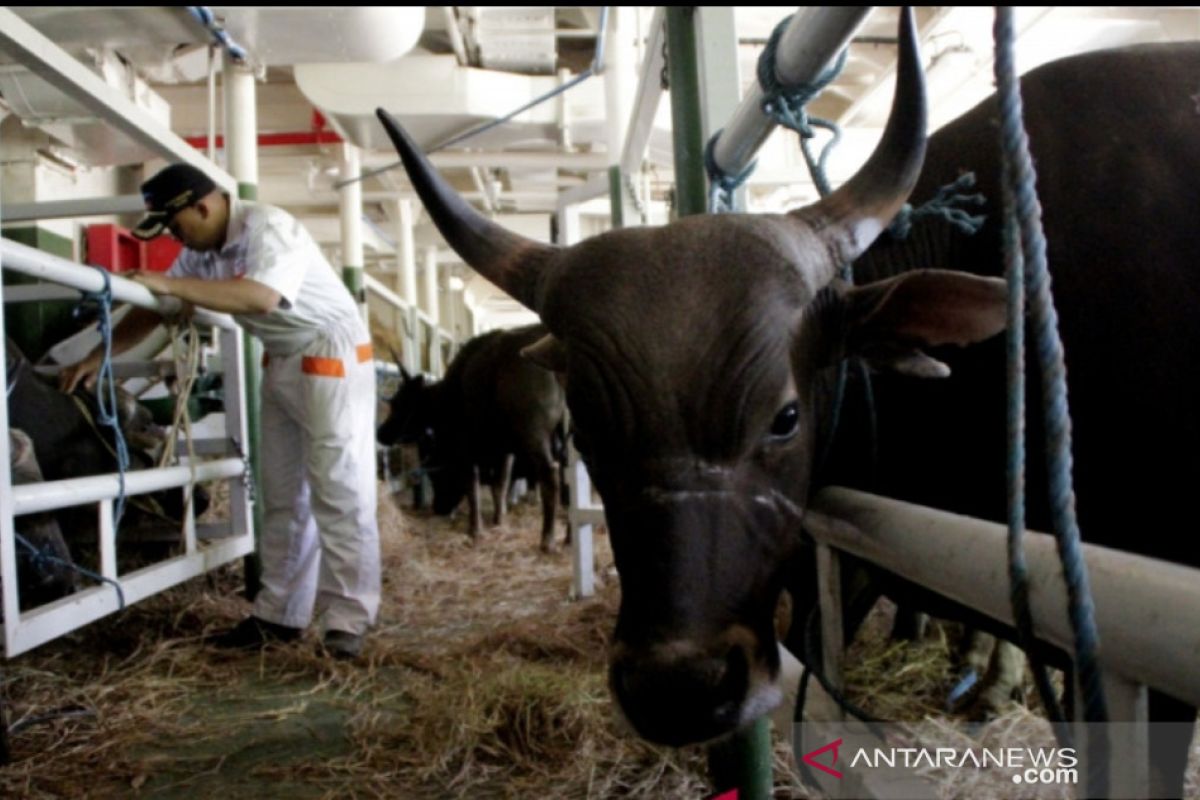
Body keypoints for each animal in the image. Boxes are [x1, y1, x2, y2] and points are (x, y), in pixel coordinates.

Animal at [379, 323, 566, 551]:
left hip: (535, 435)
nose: (381, 433)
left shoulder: (466, 447)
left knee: (550, 474)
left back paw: (548, 538)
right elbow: (500, 485)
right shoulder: (504, 450)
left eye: (399, 403)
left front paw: (475, 529)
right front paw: (499, 520)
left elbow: (472, 485)